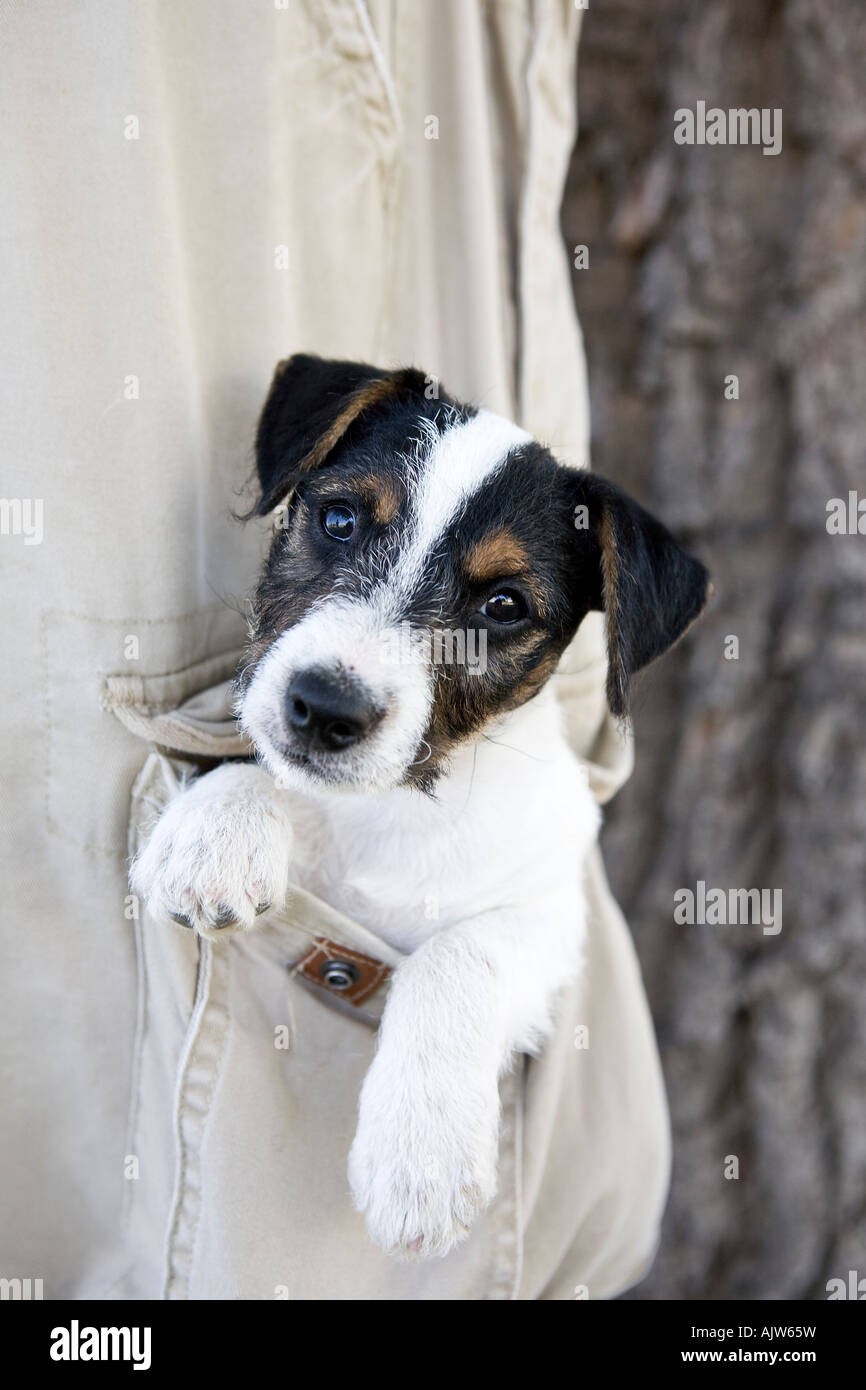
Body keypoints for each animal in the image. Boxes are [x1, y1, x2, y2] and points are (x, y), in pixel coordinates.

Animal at [130, 355, 711, 1262]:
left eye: (503, 606)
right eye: (338, 520)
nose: (325, 709)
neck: (390, 808)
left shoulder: (551, 914)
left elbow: (454, 958)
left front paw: (421, 1161)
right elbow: (258, 760)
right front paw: (214, 833)